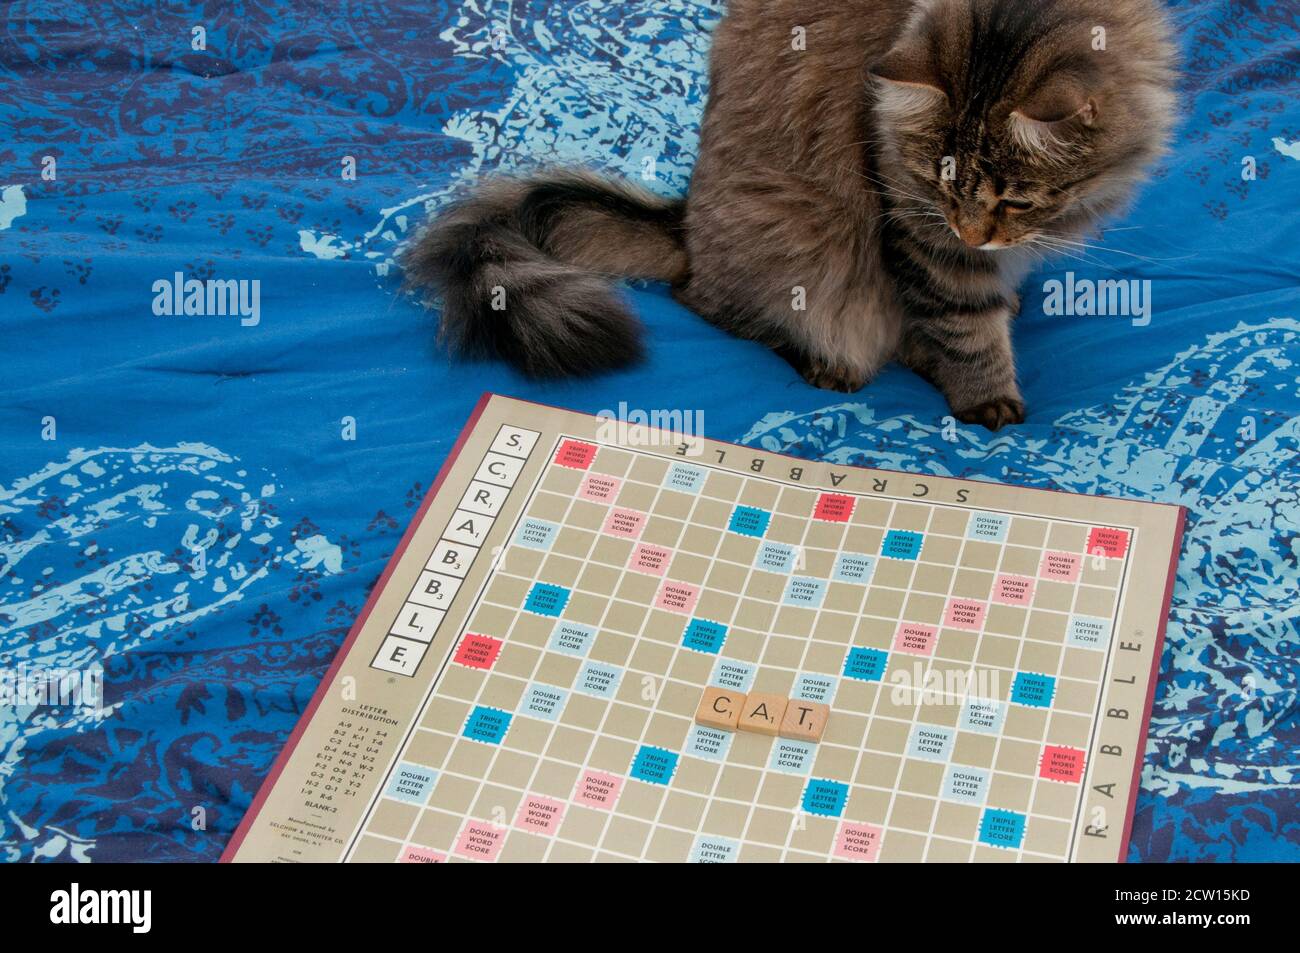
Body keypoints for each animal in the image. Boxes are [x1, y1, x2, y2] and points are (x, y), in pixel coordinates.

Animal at [405, 0, 1180, 426]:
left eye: (1014, 199)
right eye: (938, 188)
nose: (970, 230)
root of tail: (687, 226)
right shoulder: (921, 235)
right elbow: (965, 328)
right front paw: (987, 397)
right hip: (793, 244)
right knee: (712, 305)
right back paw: (826, 364)